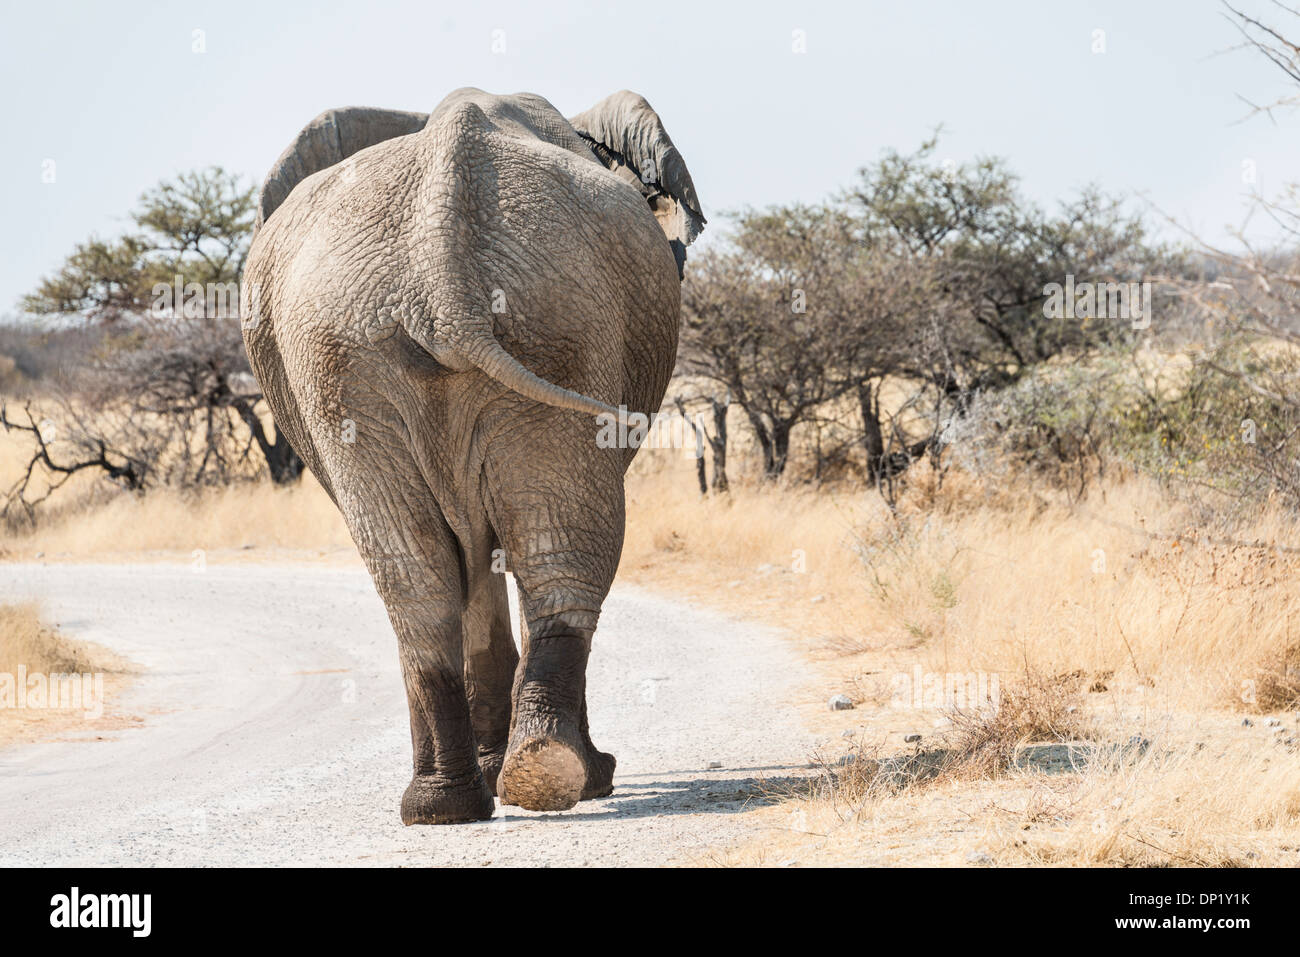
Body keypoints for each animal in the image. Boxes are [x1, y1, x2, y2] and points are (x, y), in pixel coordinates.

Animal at [241, 87, 712, 821]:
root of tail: (443, 270)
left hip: (420, 342)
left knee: (426, 577)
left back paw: (463, 799)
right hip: (495, 329)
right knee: (550, 549)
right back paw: (536, 782)